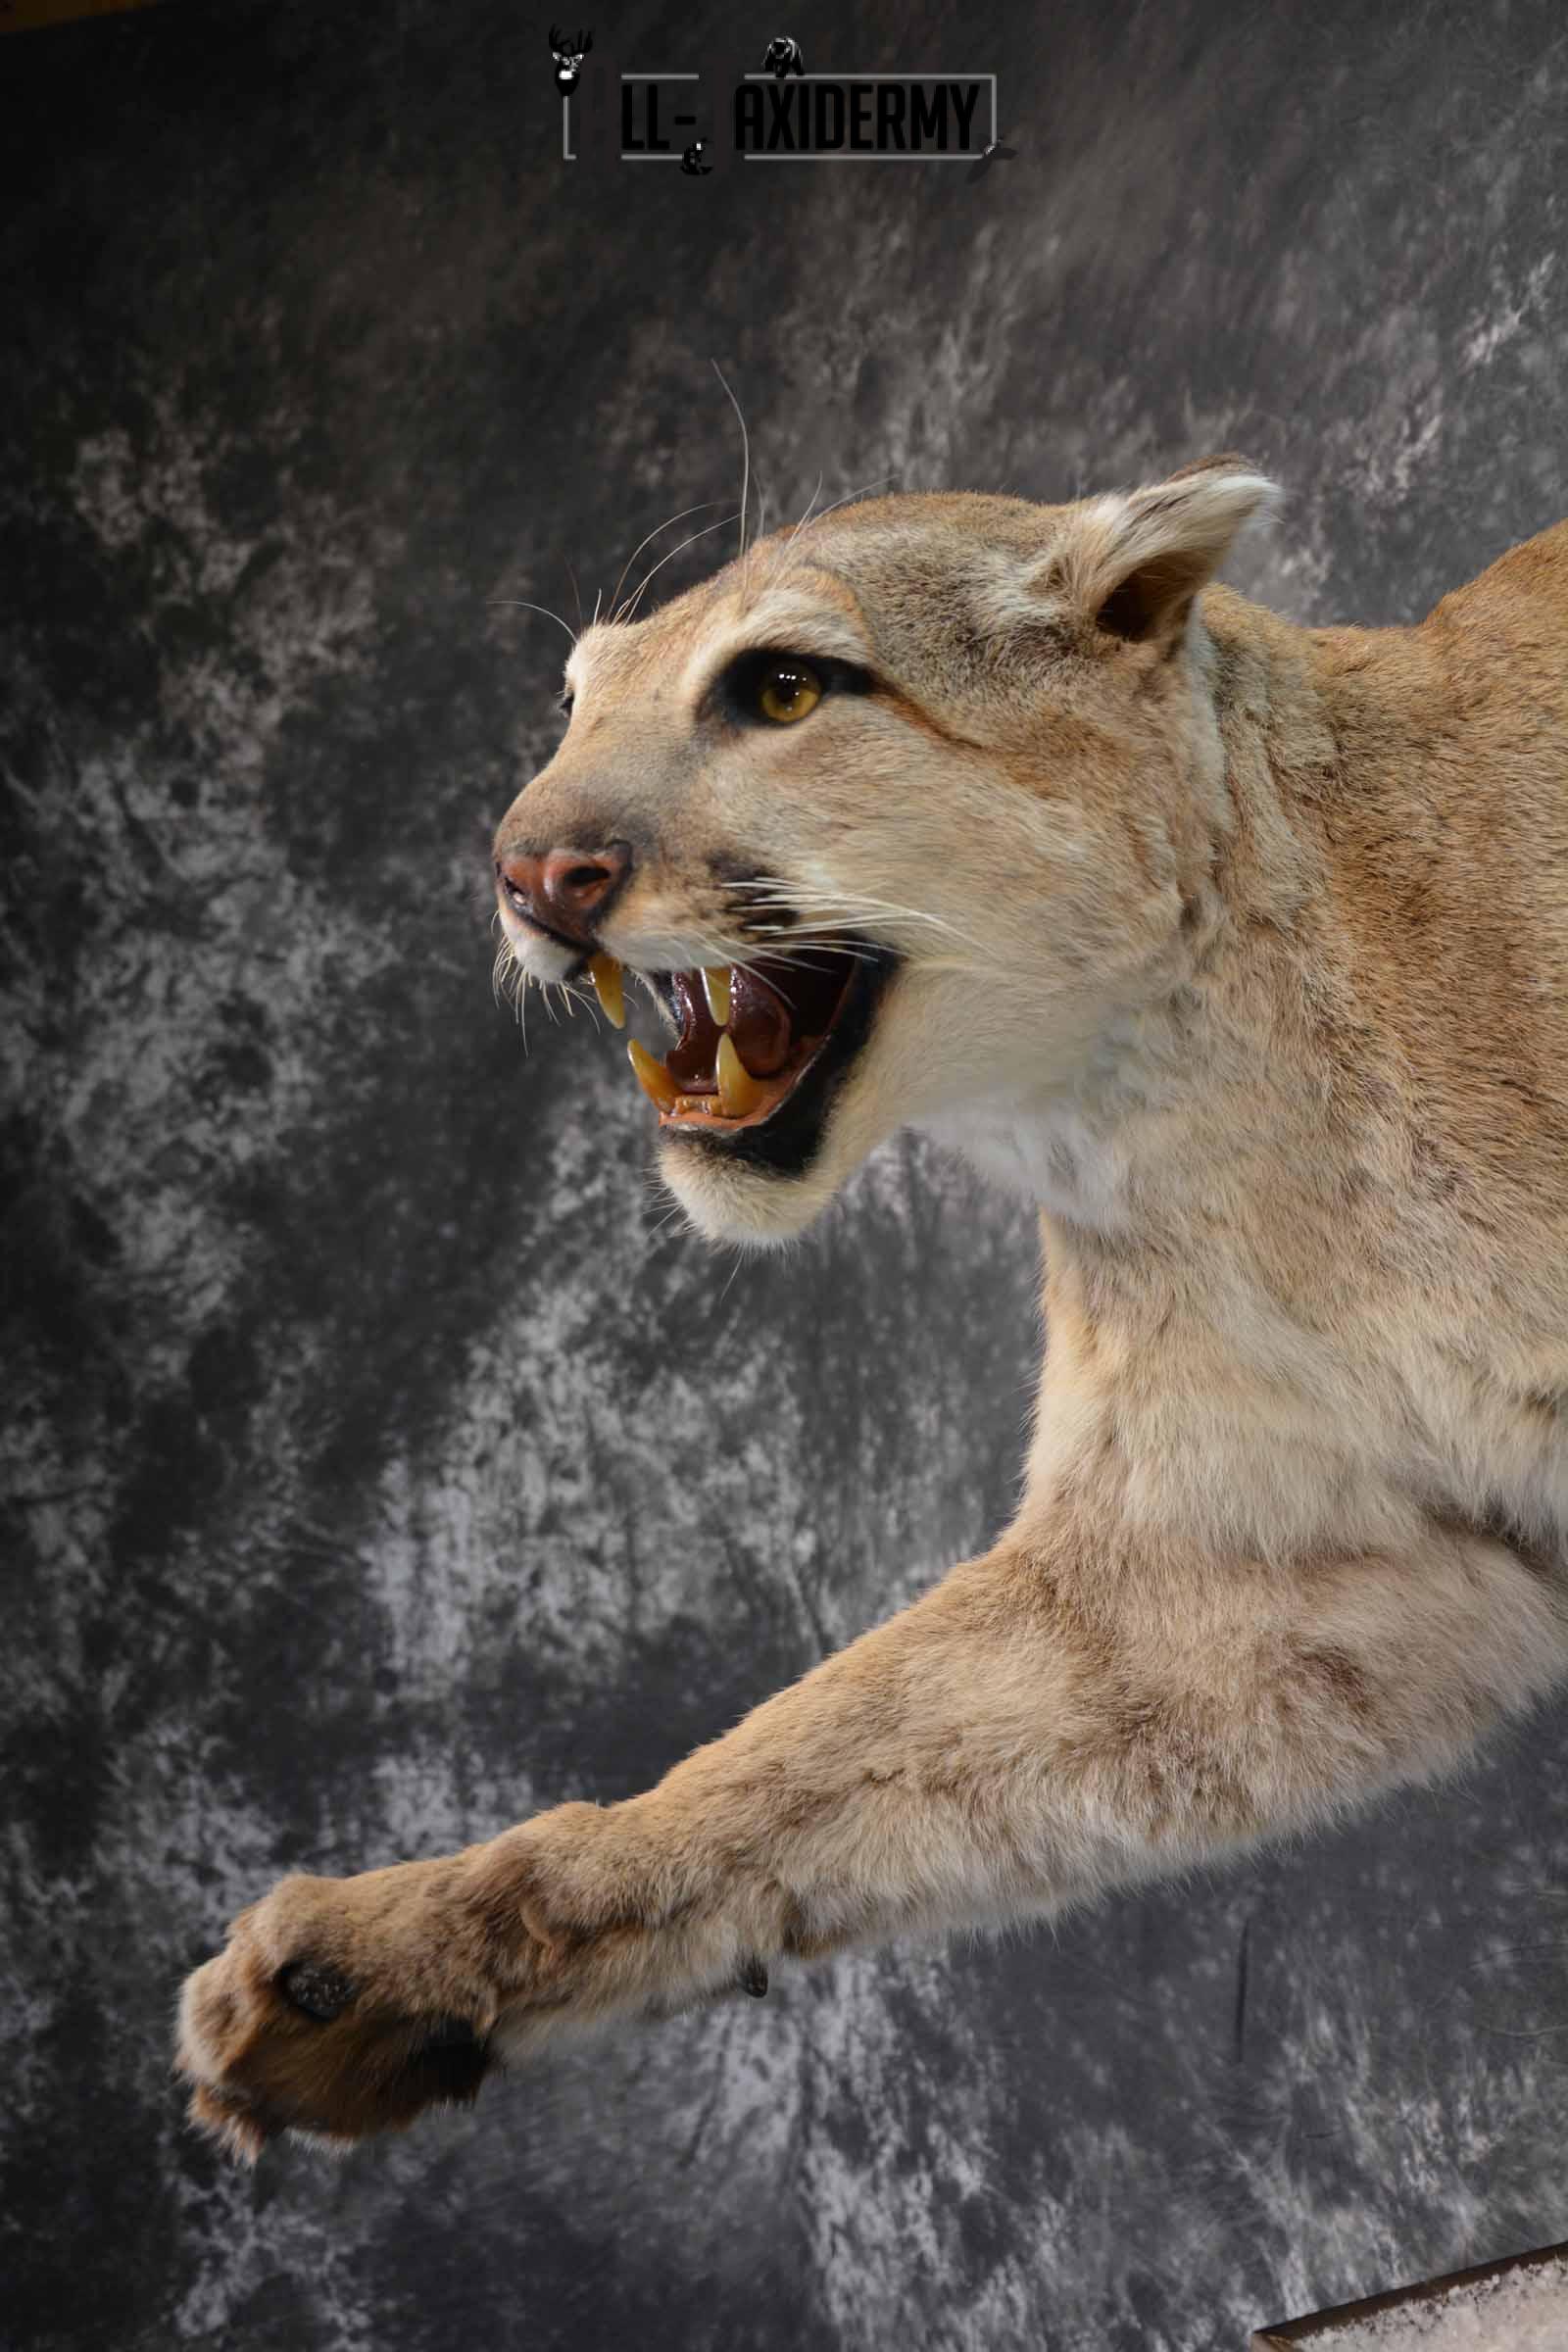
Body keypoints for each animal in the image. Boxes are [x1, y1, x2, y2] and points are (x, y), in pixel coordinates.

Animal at [177, 457, 1568, 2161]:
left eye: (782, 688)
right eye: (573, 703)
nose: (531, 873)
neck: (1179, 1108)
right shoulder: (1269, 1566)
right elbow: (823, 1748)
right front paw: (398, 1954)